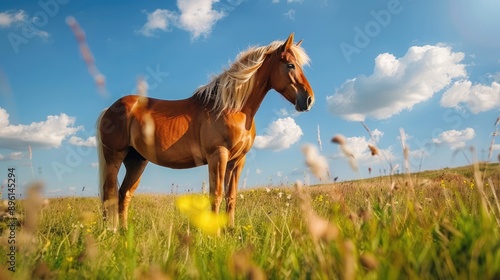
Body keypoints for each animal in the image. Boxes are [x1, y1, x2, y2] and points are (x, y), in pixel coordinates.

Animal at [96, 33, 314, 230]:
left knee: (124, 195)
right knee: (109, 194)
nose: (309, 99)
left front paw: (230, 231)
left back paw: (124, 231)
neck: (231, 107)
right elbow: (216, 195)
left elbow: (231, 197)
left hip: (136, 161)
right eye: (290, 65)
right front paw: (215, 234)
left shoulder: (237, 160)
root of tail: (110, 108)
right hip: (114, 157)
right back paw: (111, 232)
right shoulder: (218, 155)